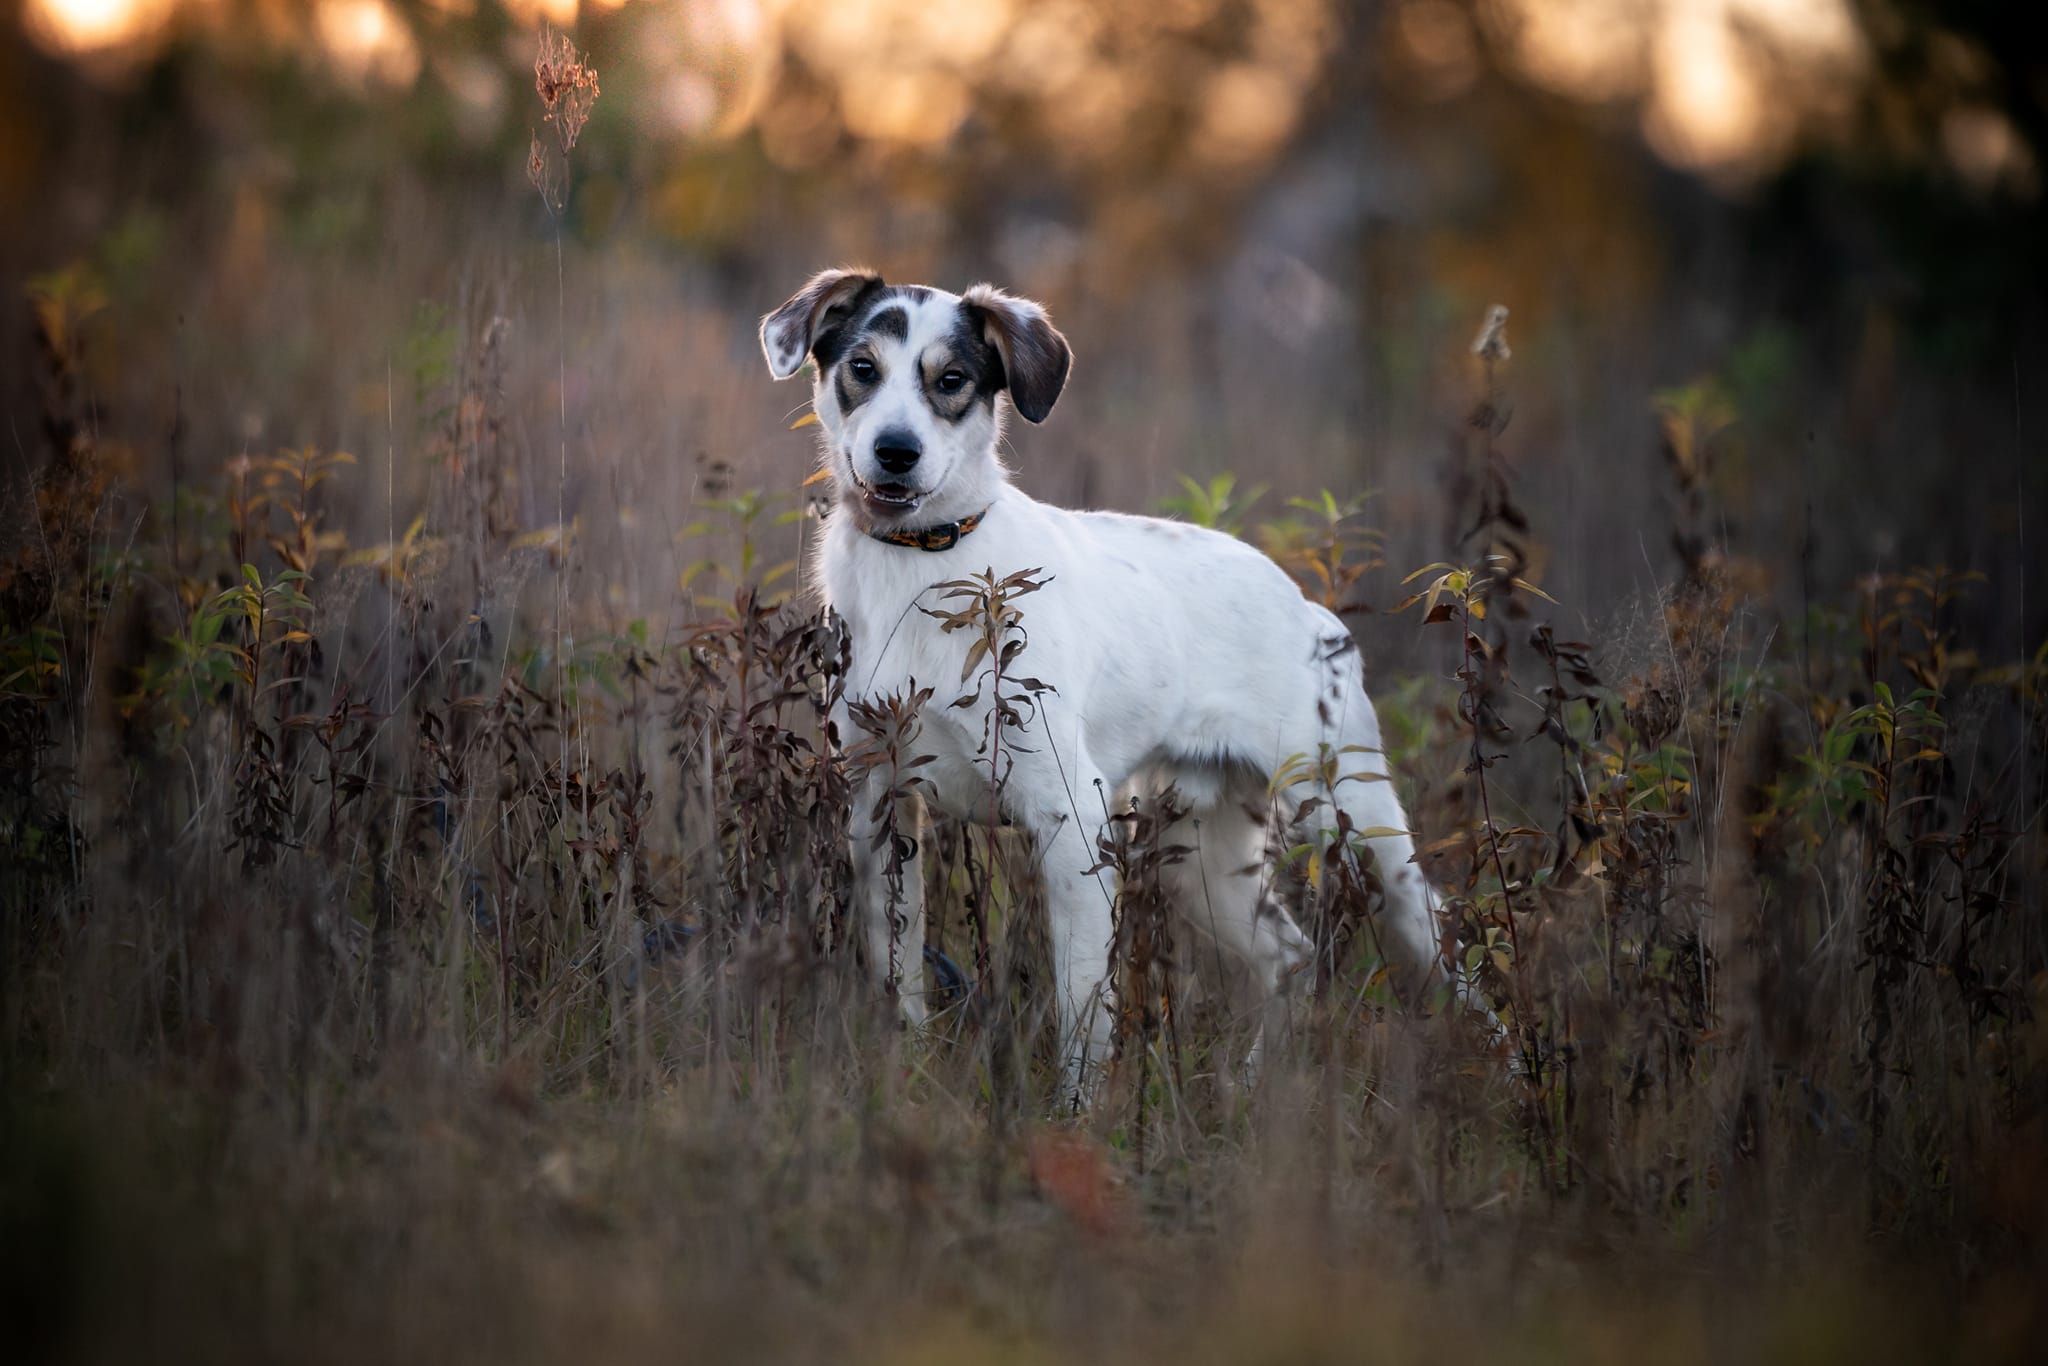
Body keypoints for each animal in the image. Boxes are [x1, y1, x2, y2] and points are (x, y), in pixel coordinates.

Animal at [761, 269, 1483, 1100]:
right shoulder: (881, 806)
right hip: (1202, 856)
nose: (896, 452)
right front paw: (902, 1076)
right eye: (862, 368)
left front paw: (1075, 1112)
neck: (922, 567)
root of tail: (1309, 610)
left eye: (951, 380)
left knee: (1444, 942)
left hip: (1357, 822)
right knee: (1291, 956)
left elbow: (1085, 1009)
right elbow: (897, 971)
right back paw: (1254, 1088)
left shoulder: (1070, 818)